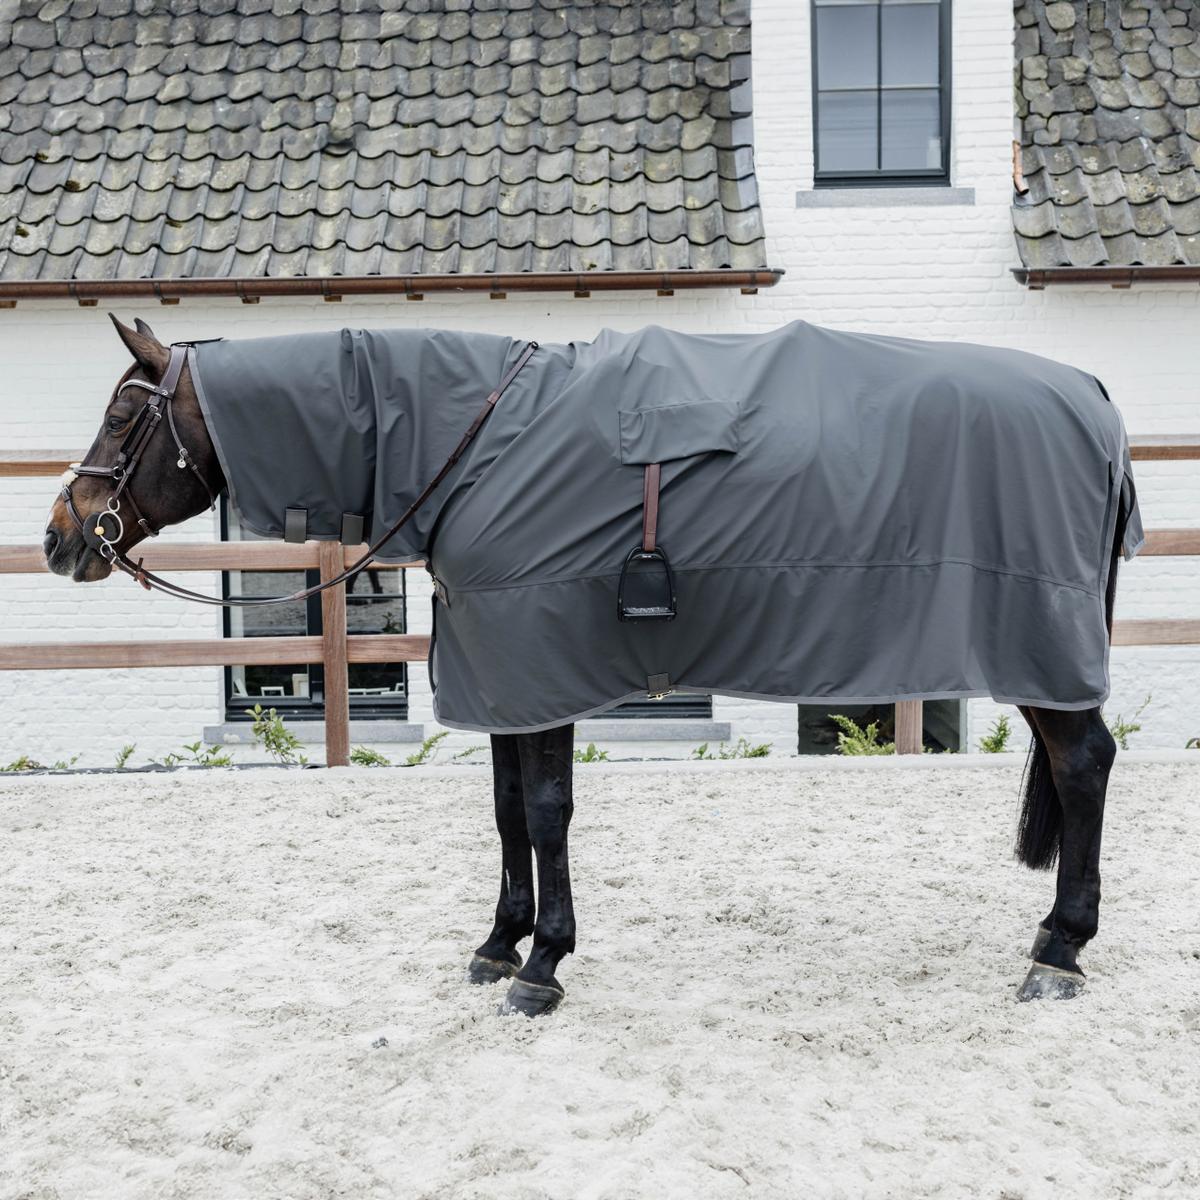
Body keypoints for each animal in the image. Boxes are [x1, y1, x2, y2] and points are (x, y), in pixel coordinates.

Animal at [43, 315, 1133, 1015]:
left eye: (121, 416)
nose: (60, 536)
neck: (471, 448)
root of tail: (1094, 396)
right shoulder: (501, 674)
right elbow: (503, 812)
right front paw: (499, 944)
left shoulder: (543, 668)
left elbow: (544, 812)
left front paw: (543, 967)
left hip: (1038, 648)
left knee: (1084, 766)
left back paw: (1062, 953)